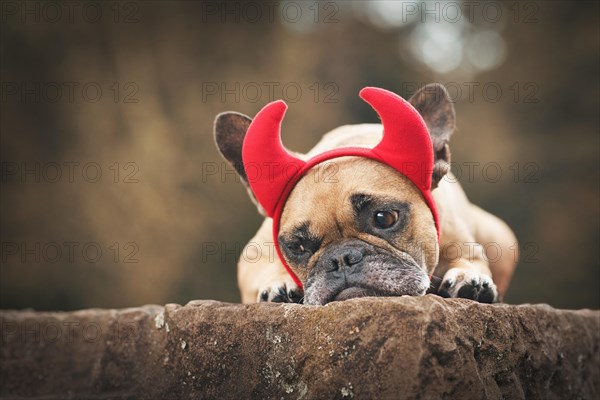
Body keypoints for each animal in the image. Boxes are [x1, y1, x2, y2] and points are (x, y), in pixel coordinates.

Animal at [213, 83, 516, 304]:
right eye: (297, 247)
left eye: (385, 218)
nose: (341, 259)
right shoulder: (254, 253)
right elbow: (262, 268)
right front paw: (278, 284)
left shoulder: (461, 238)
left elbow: (472, 259)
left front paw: (469, 277)